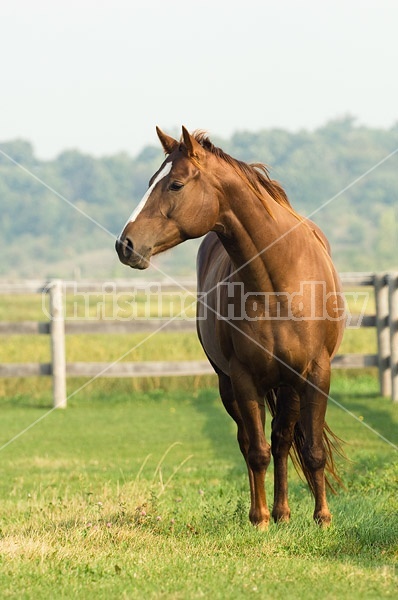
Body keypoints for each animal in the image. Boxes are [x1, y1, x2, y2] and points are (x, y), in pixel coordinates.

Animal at [116, 126, 346, 528]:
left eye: (175, 184)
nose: (125, 245)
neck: (278, 282)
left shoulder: (315, 373)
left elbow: (311, 449)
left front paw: (322, 518)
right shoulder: (243, 377)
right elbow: (256, 451)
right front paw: (260, 519)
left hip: (288, 386)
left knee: (283, 439)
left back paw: (285, 512)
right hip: (229, 385)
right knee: (251, 441)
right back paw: (270, 512)